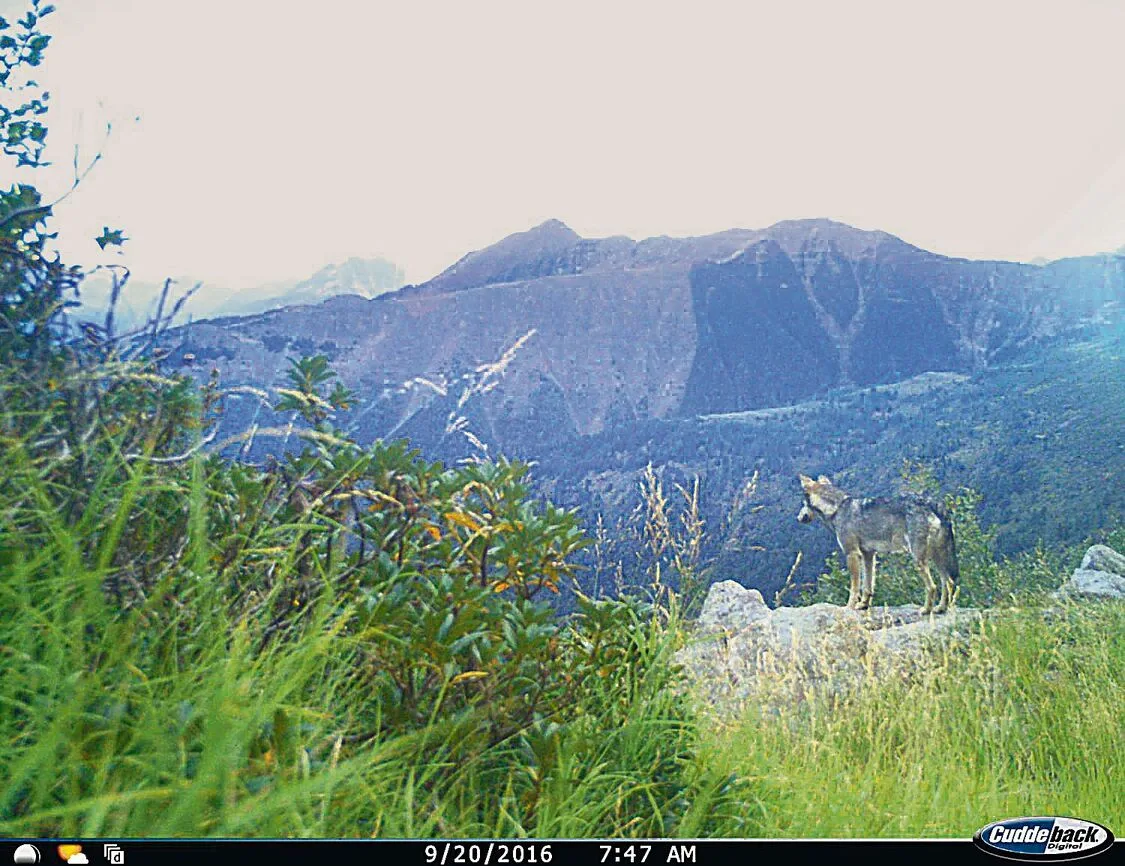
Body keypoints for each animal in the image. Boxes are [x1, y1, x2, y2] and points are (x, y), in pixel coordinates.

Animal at [797, 474, 959, 614]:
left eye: (803, 504)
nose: (798, 518)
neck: (837, 508)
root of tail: (934, 504)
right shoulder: (868, 555)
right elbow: (868, 586)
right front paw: (863, 605)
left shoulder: (852, 554)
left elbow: (855, 587)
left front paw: (849, 607)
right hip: (937, 558)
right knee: (949, 582)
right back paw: (941, 608)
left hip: (919, 560)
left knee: (933, 586)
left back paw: (926, 610)